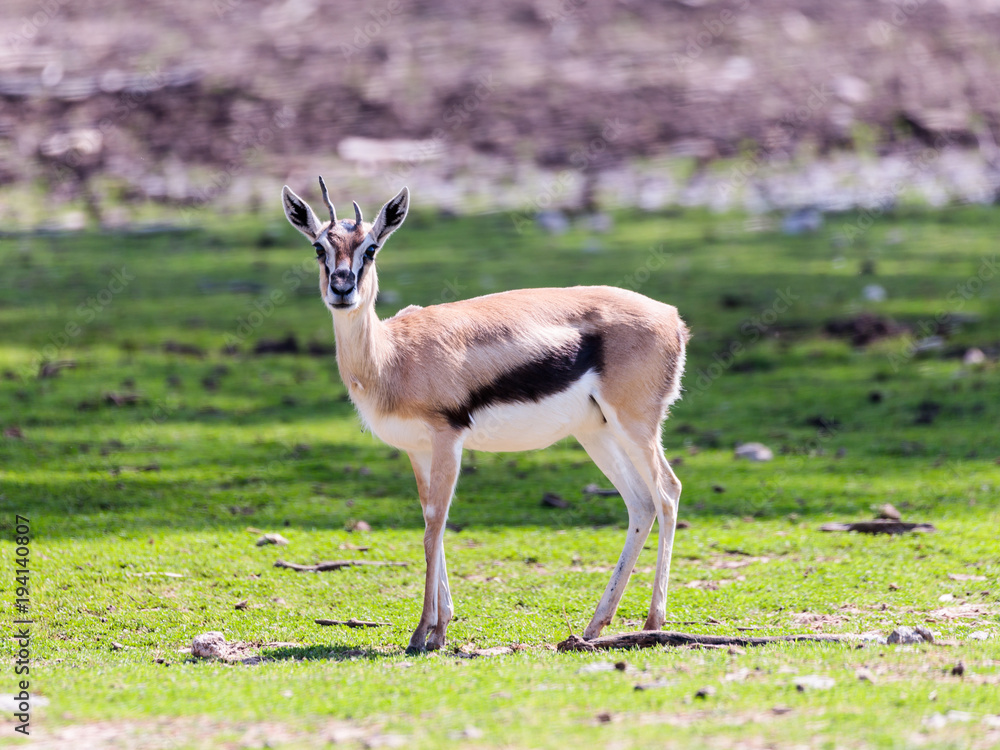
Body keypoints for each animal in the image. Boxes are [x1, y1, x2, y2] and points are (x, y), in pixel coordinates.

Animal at [281, 179, 688, 653]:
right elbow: (430, 520)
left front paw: (423, 632)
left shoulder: (447, 438)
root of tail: (673, 318)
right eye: (319, 248)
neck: (392, 357)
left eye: (371, 249)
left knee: (667, 492)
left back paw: (653, 622)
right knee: (640, 503)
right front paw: (441, 626)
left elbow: (434, 526)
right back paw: (593, 627)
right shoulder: (417, 450)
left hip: (636, 425)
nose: (342, 288)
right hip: (596, 434)